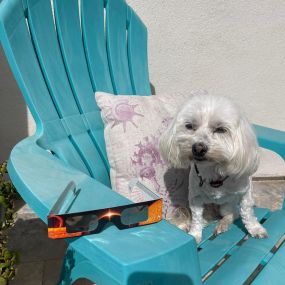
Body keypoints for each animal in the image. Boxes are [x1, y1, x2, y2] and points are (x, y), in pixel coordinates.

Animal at [159, 92, 268, 242]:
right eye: (189, 126)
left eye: (221, 129)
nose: (198, 148)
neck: (212, 171)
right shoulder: (195, 199)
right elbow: (196, 219)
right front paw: (194, 234)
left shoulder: (245, 193)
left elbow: (247, 212)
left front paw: (255, 228)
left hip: (226, 205)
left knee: (233, 214)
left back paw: (223, 224)